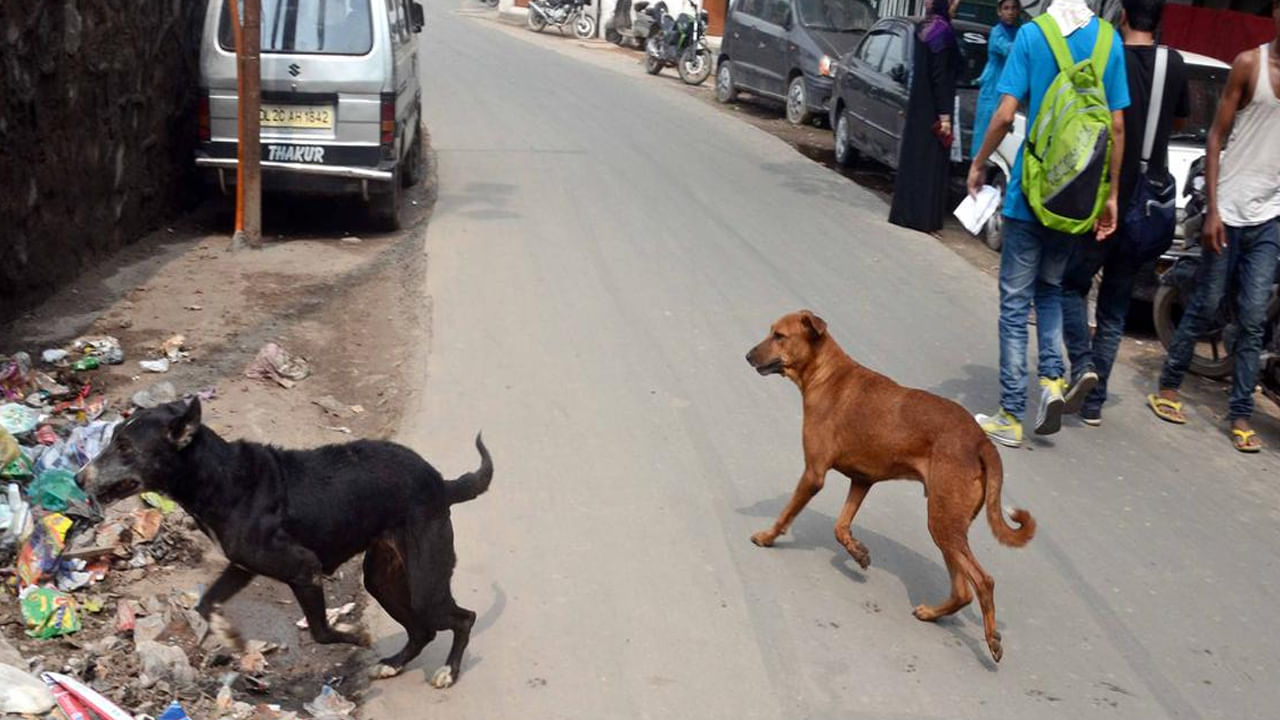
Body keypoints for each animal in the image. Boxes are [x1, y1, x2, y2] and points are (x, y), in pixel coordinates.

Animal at [78, 397, 488, 681]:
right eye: (112, 439)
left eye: (126, 447)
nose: (80, 478)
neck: (219, 477)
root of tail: (441, 483)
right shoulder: (242, 565)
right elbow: (206, 603)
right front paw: (229, 636)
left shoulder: (303, 568)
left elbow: (321, 632)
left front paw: (357, 636)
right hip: (382, 578)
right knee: (422, 629)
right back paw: (393, 665)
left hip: (424, 580)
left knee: (463, 618)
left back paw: (448, 672)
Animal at [747, 304, 1034, 661]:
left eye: (779, 335)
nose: (747, 355)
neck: (825, 374)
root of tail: (982, 442)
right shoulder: (862, 480)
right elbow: (840, 527)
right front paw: (858, 553)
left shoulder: (813, 474)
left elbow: (786, 515)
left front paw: (766, 537)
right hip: (949, 526)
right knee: (962, 590)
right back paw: (931, 613)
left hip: (942, 522)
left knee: (983, 582)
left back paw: (992, 639)